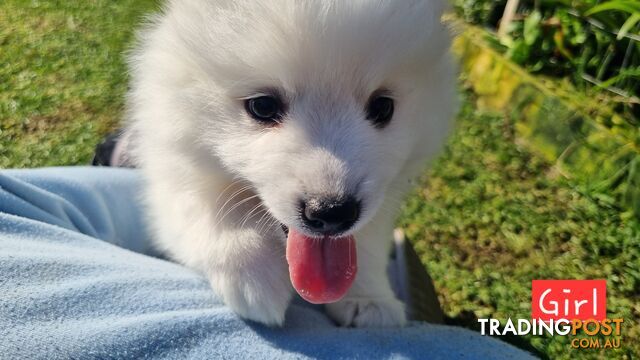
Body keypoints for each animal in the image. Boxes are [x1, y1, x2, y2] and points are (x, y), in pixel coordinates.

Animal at [126, 0, 456, 326]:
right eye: (262, 105)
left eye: (383, 107)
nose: (332, 213)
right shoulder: (172, 170)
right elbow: (206, 207)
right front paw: (254, 274)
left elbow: (367, 241)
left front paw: (370, 299)